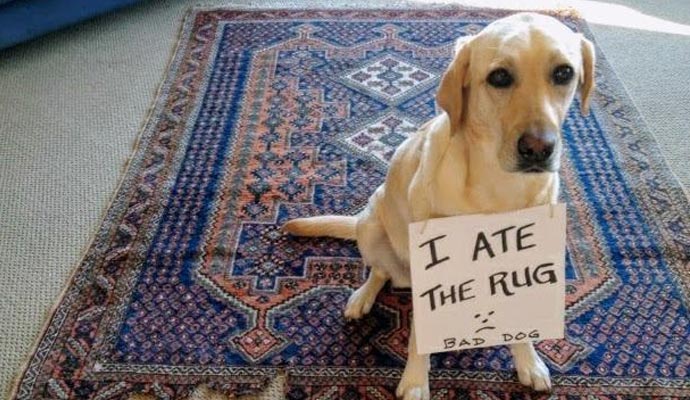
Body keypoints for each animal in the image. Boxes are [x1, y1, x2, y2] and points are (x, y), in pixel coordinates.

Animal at [282, 12, 592, 400]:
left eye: (564, 73)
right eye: (499, 77)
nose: (538, 148)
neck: (496, 186)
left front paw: (528, 360)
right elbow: (419, 332)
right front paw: (416, 380)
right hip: (372, 227)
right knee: (379, 271)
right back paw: (362, 297)